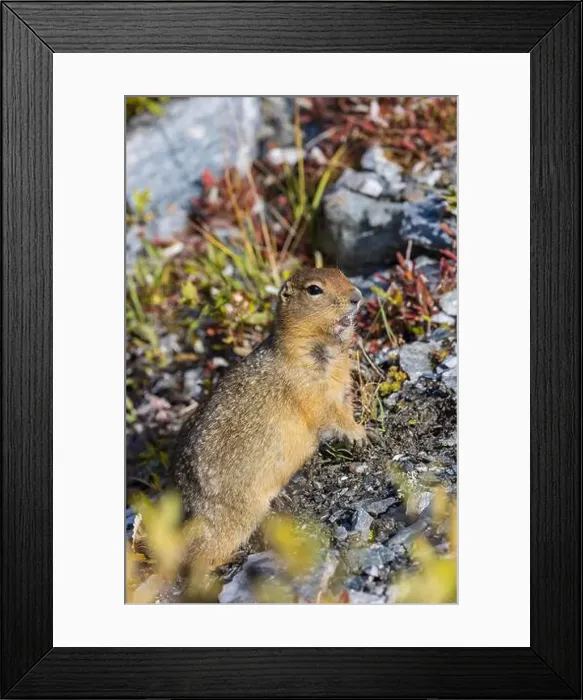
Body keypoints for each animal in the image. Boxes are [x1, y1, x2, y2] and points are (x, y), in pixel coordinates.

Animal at [170, 267, 370, 574]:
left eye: (341, 273)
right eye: (314, 289)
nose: (357, 296)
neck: (319, 344)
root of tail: (190, 502)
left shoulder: (341, 383)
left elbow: (344, 406)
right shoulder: (307, 386)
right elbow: (327, 412)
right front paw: (360, 433)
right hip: (235, 514)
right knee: (200, 555)